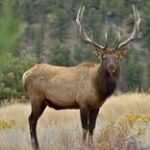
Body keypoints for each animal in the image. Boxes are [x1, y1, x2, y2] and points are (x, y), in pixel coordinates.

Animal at [22, 5, 141, 150]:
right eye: (104, 57)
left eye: (117, 57)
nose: (111, 67)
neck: (99, 88)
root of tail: (25, 74)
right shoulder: (83, 103)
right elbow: (85, 128)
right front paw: (84, 145)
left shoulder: (96, 106)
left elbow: (92, 128)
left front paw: (91, 144)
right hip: (36, 98)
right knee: (31, 120)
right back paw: (36, 146)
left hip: (42, 101)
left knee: (32, 120)